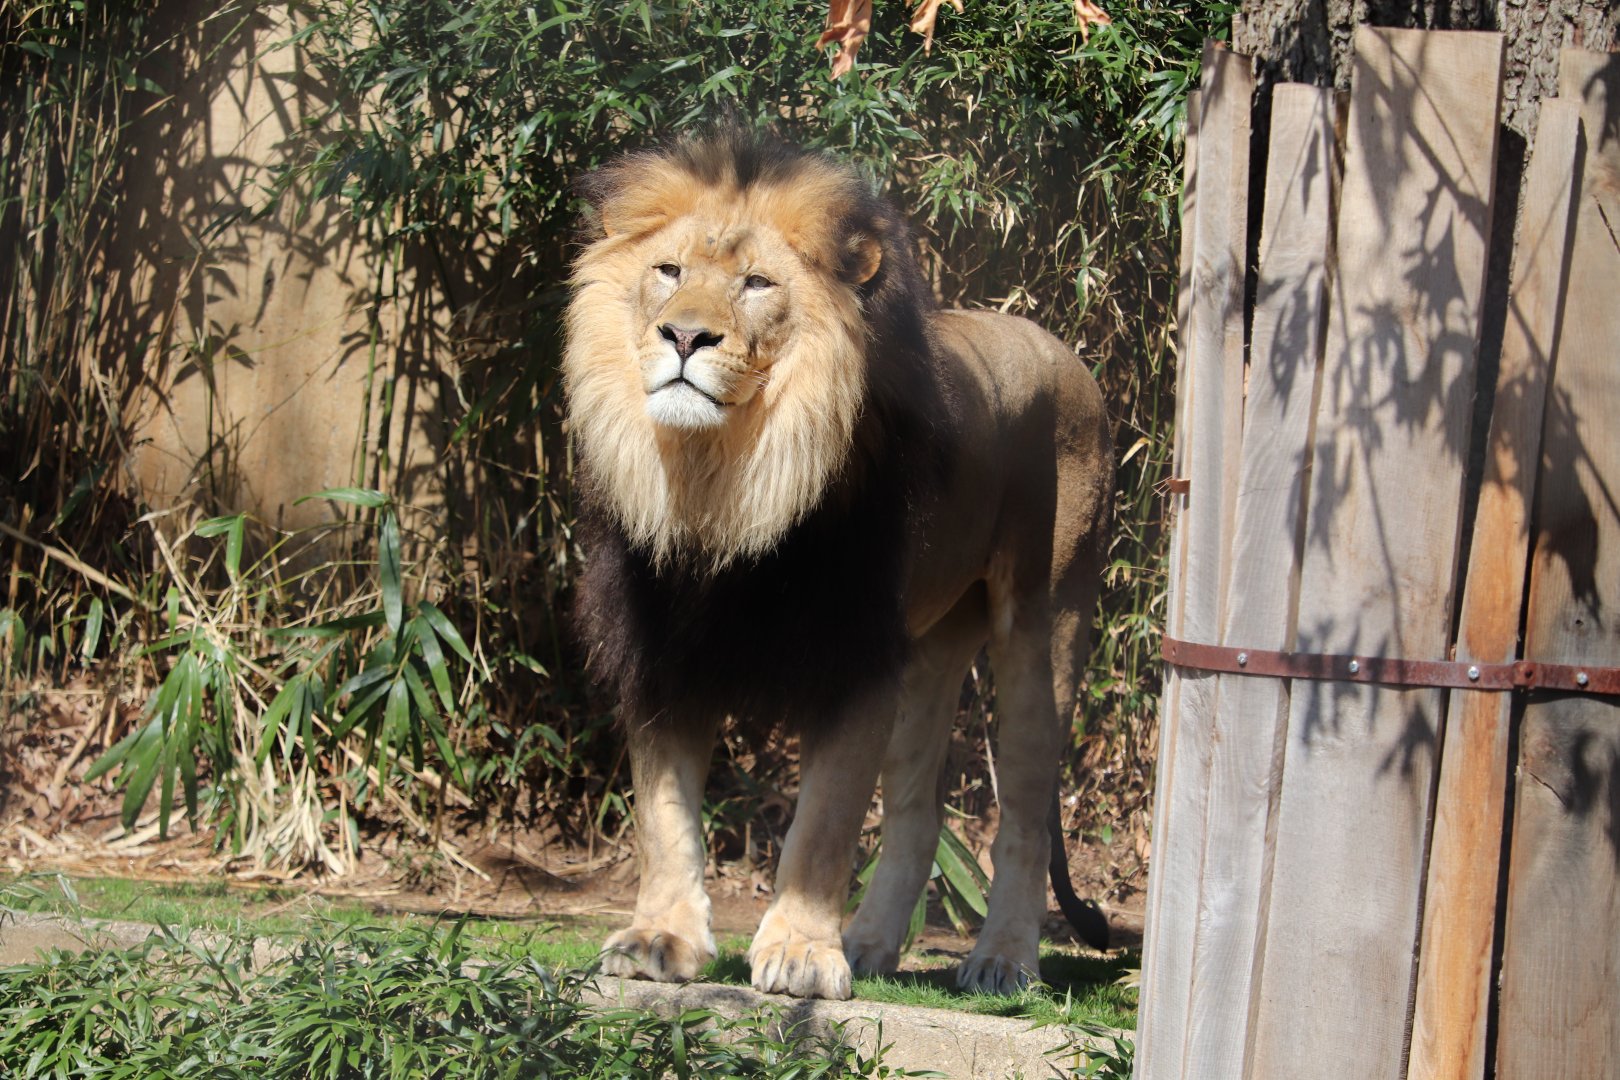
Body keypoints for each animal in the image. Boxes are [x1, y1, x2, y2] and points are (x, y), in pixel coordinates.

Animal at [564, 127, 1113, 1000]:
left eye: (757, 283)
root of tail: (1060, 346)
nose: (683, 338)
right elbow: (663, 815)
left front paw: (798, 954)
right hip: (930, 651)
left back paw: (1002, 962)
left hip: (1044, 622)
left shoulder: (855, 659)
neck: (725, 483)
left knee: (1026, 810)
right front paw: (661, 940)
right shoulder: (661, 651)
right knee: (919, 816)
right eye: (669, 271)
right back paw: (870, 945)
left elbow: (822, 822)